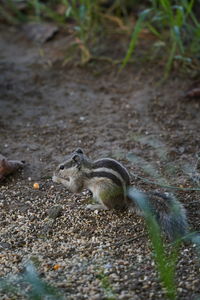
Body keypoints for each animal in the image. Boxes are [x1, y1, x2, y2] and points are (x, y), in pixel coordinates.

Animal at [52, 149, 188, 240]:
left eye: (62, 167)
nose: (54, 171)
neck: (84, 168)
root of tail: (125, 197)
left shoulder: (78, 179)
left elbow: (74, 189)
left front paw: (55, 178)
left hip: (103, 191)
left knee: (109, 207)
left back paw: (94, 206)